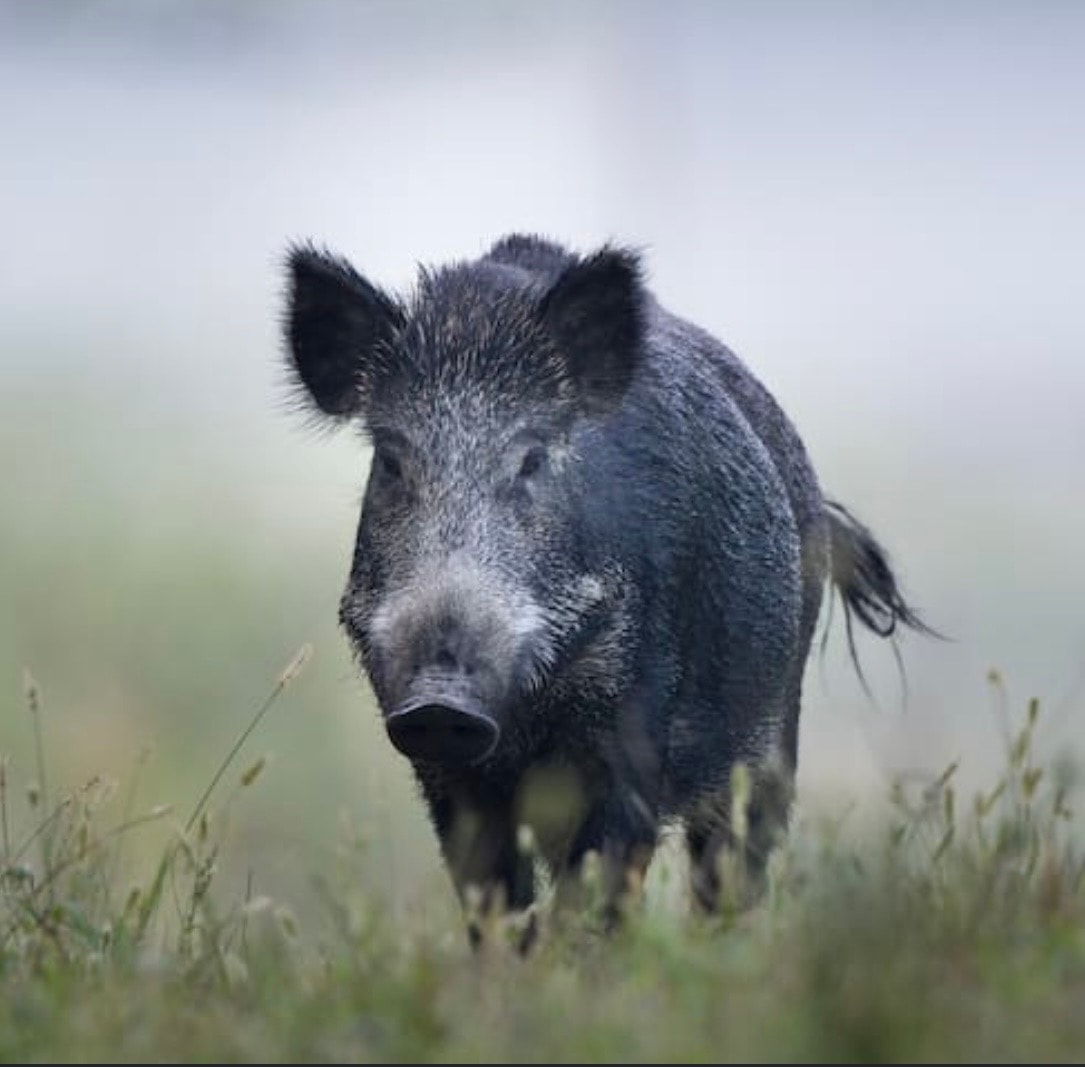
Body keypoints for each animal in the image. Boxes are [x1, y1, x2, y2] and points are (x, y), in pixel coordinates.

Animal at [283, 233, 930, 938]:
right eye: (392, 461)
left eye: (532, 458)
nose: (439, 700)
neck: (527, 716)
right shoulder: (444, 775)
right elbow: (495, 904)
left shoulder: (635, 733)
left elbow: (599, 891)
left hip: (773, 733)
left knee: (732, 871)